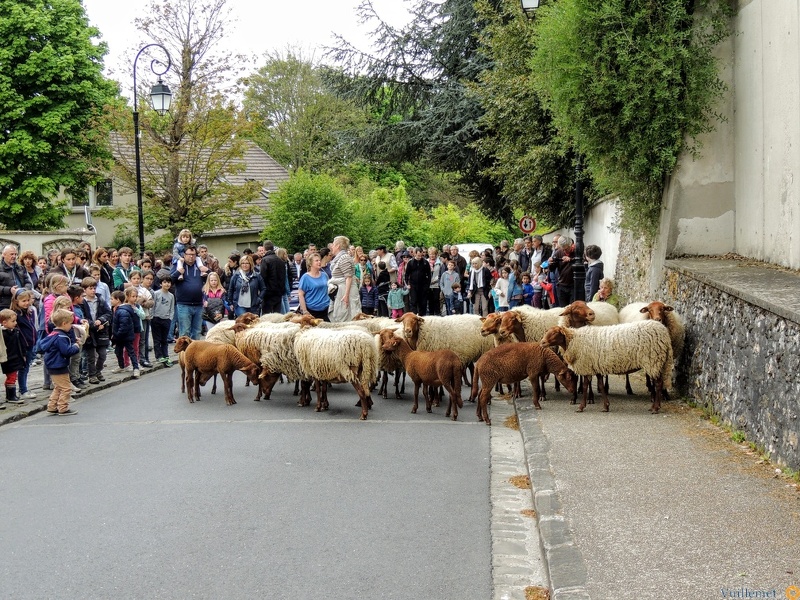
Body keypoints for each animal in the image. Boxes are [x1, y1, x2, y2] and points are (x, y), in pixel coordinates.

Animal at [536, 322, 676, 414]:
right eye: (546, 332)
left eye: (555, 333)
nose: (542, 342)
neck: (575, 340)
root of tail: (664, 332)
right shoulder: (596, 366)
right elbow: (601, 386)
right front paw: (606, 406)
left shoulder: (587, 365)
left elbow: (585, 386)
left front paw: (581, 407)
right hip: (657, 362)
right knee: (659, 383)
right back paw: (656, 406)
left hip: (653, 361)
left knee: (658, 384)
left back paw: (655, 408)